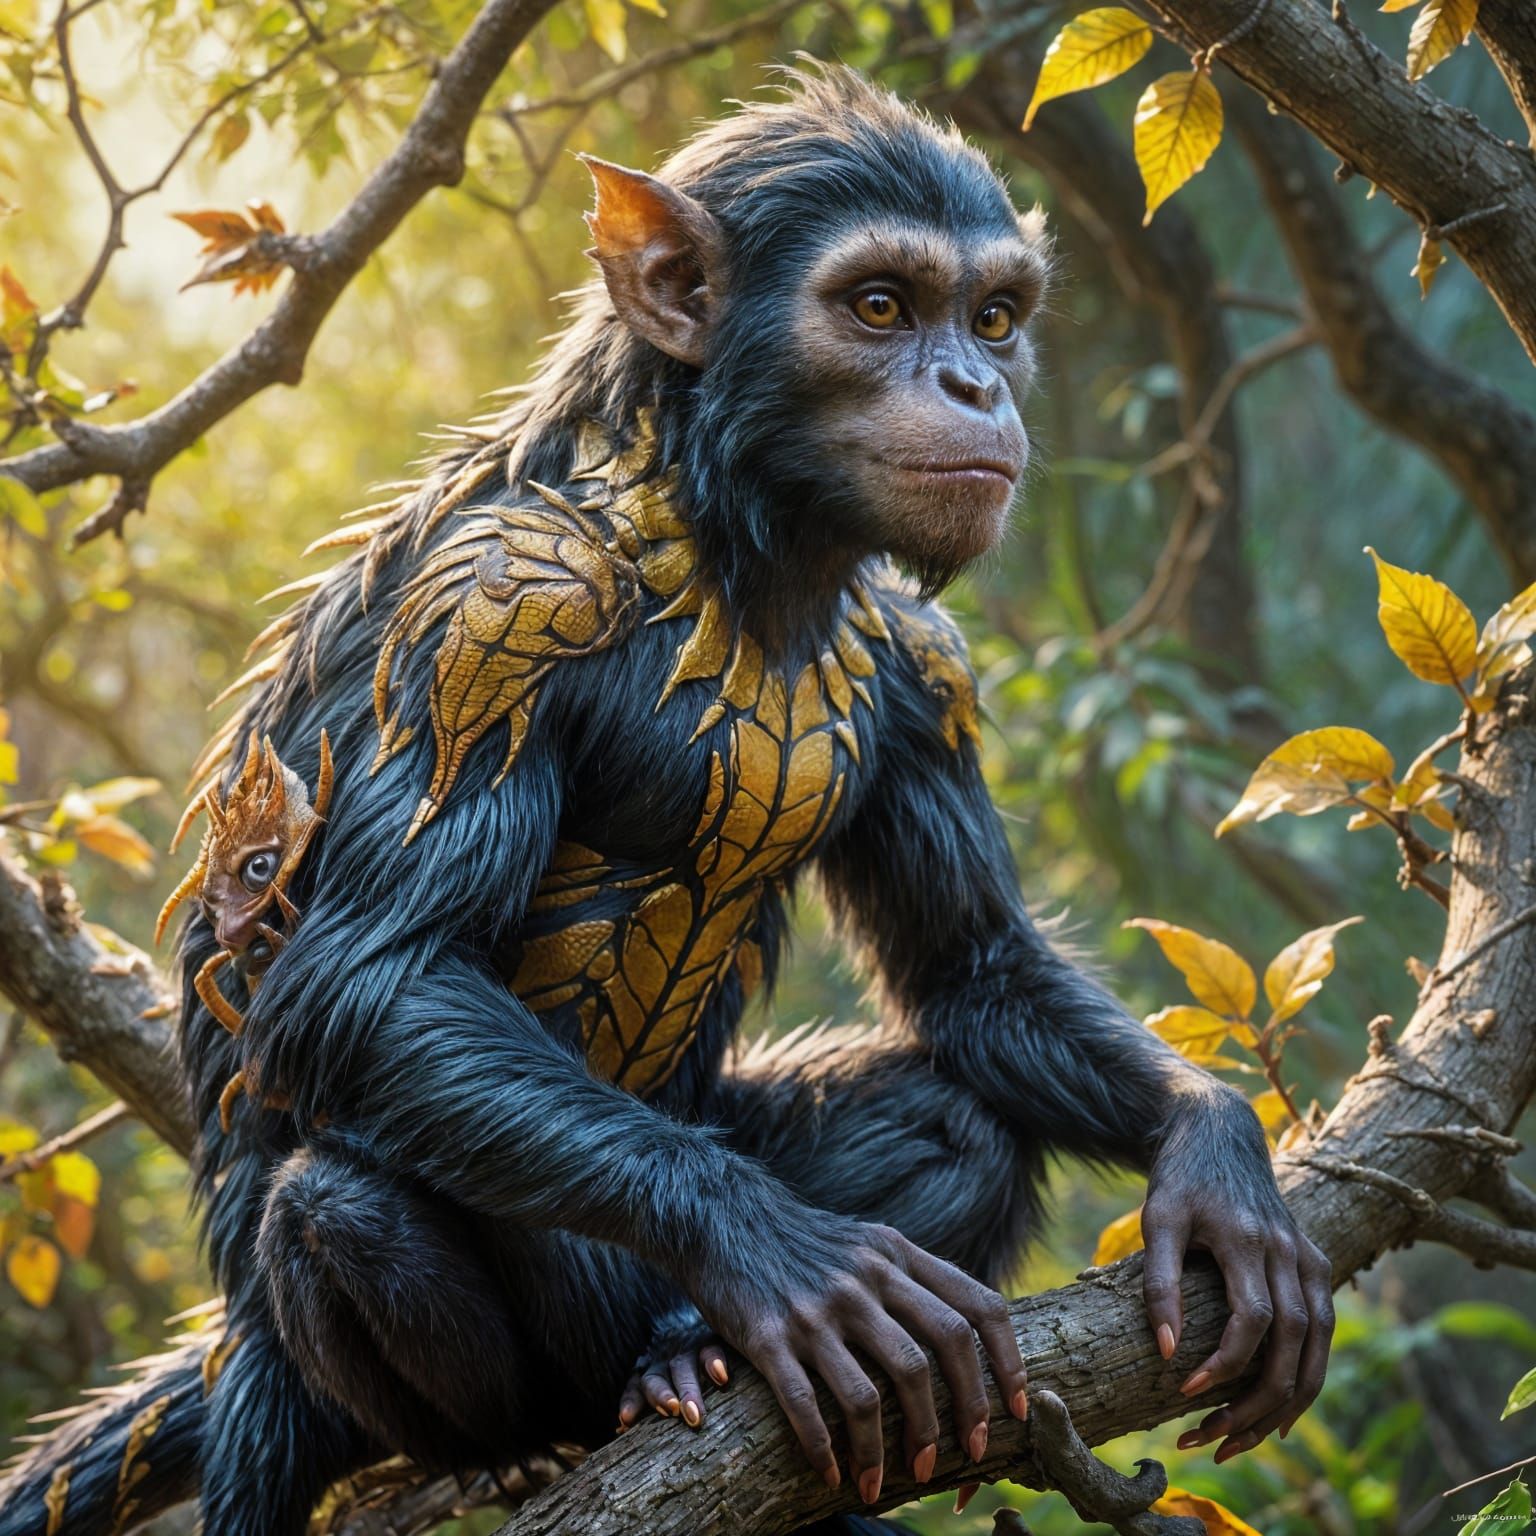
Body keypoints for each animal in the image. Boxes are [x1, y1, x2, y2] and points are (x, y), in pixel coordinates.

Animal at [0, 66, 1332, 1536]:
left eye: (993, 314)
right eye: (880, 306)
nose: (976, 381)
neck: (724, 534)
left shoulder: (924, 671)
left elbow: (972, 968)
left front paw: (1213, 1148)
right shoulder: (486, 616)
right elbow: (374, 977)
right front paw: (781, 1249)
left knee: (959, 1124)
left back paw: (706, 1355)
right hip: (326, 1383)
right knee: (335, 1206)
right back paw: (572, 1413)